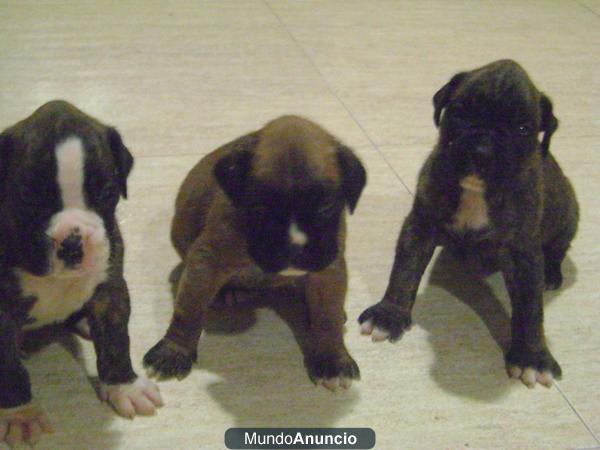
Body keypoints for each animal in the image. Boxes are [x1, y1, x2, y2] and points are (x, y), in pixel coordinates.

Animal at [0, 101, 162, 446]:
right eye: (27, 197)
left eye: (107, 191)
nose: (72, 242)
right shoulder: (1, 313)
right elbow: (9, 368)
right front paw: (21, 414)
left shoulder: (110, 289)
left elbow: (116, 341)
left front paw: (125, 387)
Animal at [143, 115, 366, 390]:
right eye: (260, 208)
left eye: (326, 207)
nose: (295, 246)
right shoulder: (206, 261)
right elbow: (189, 310)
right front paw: (173, 351)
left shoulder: (328, 269)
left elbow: (328, 316)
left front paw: (333, 359)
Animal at [358, 59, 580, 388]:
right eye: (460, 112)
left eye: (523, 129)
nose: (482, 151)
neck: (477, 193)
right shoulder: (421, 224)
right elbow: (404, 270)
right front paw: (389, 314)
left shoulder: (523, 254)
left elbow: (530, 306)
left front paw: (532, 356)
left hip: (569, 216)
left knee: (557, 249)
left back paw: (551, 272)